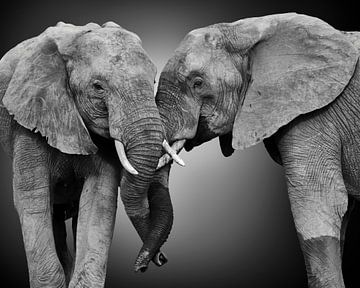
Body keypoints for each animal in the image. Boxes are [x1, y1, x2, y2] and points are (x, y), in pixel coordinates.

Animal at [0, 21, 180, 286]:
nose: (159, 260)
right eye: (98, 87)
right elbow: (32, 197)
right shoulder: (29, 118)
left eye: (154, 80)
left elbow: (99, 198)